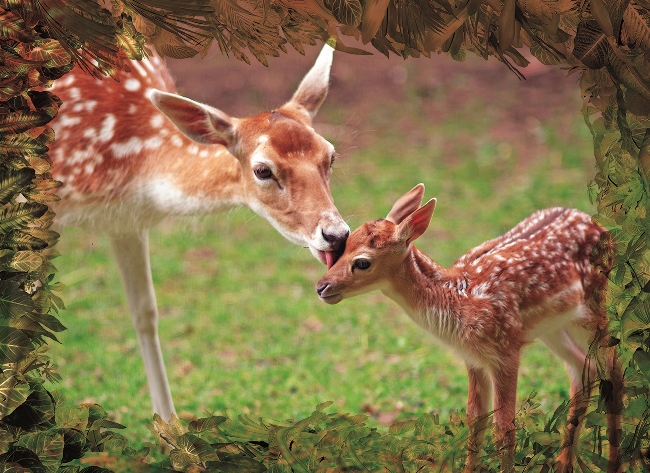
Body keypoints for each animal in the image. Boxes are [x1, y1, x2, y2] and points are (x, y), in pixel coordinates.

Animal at [49, 44, 350, 420]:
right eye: (262, 170)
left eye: (331, 156)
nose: (336, 234)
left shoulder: (125, 220)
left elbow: (144, 313)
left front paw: (170, 429)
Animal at [316, 184, 620, 472]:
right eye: (342, 248)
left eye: (362, 262)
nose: (321, 287)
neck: (460, 301)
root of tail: (600, 227)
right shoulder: (473, 358)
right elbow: (476, 421)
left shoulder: (506, 348)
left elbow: (504, 427)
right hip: (553, 327)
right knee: (583, 369)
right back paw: (564, 464)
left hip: (593, 306)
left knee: (613, 369)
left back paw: (616, 463)